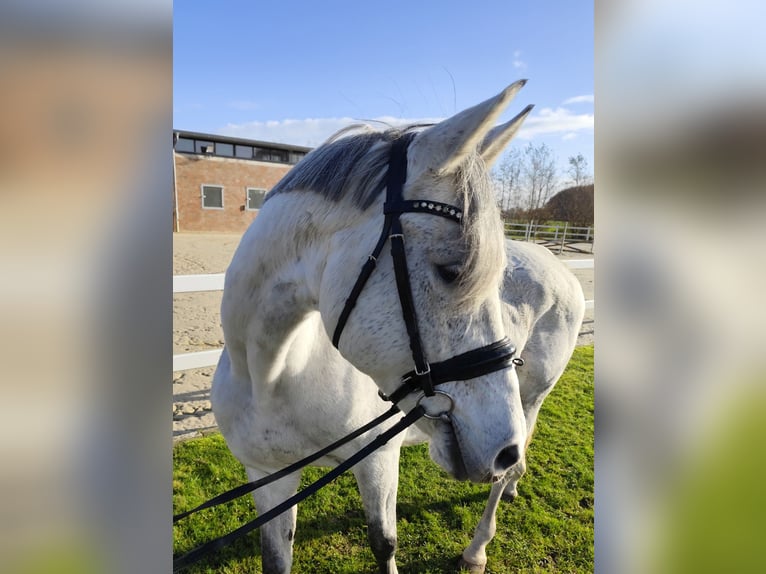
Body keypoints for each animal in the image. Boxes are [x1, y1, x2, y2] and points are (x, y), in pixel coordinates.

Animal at [212, 82, 588, 574]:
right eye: (451, 270)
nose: (501, 450)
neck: (272, 378)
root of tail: (561, 267)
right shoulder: (268, 479)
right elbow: (276, 559)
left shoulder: (377, 462)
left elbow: (383, 543)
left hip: (528, 401)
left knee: (504, 472)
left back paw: (478, 545)